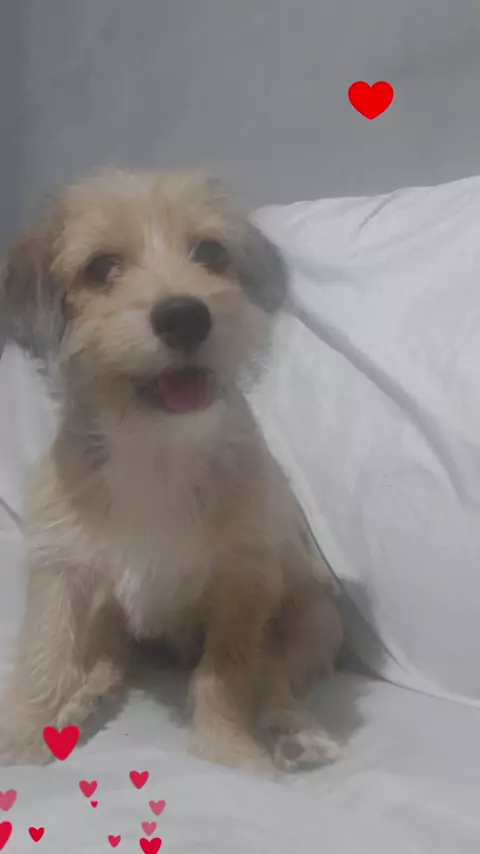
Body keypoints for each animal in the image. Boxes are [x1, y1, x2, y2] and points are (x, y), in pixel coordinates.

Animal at [0, 169, 342, 772]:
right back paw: (79, 705)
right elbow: (46, 651)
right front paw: (23, 730)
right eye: (100, 268)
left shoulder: (244, 583)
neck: (155, 445)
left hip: (316, 617)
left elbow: (229, 674)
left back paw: (295, 733)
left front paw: (226, 751)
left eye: (211, 253)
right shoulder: (61, 569)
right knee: (106, 660)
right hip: (107, 611)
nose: (185, 316)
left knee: (276, 677)